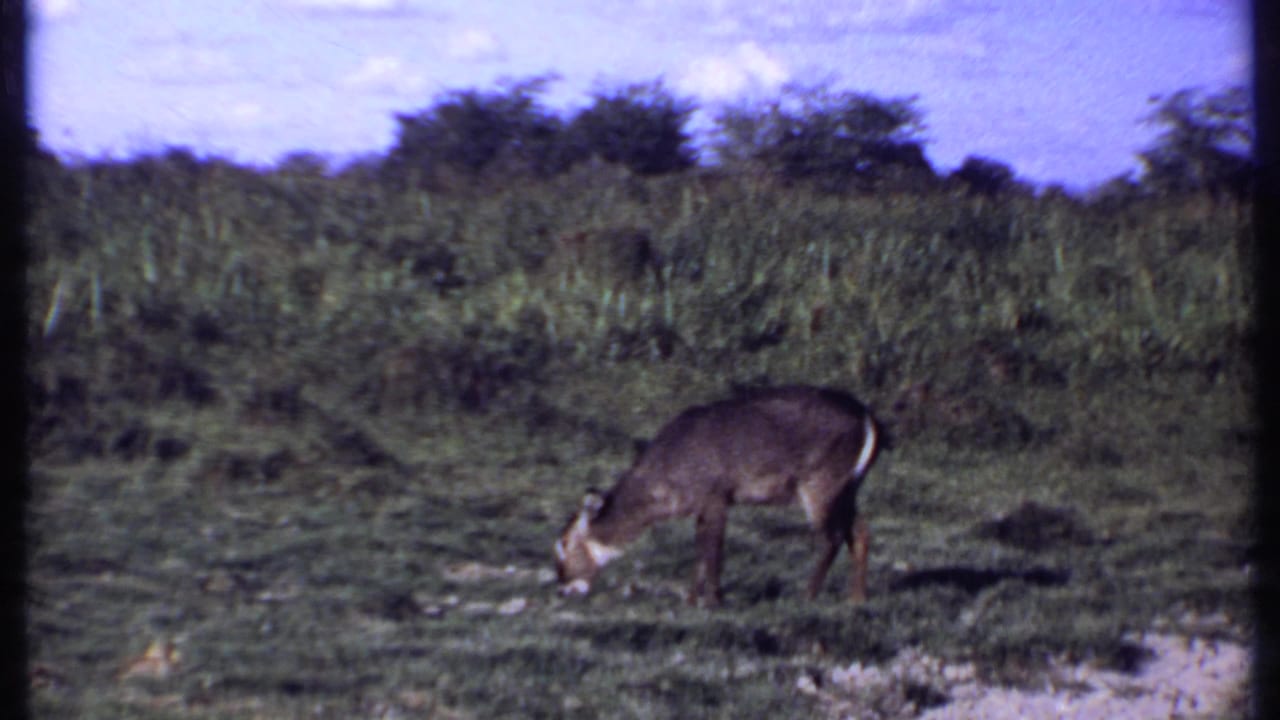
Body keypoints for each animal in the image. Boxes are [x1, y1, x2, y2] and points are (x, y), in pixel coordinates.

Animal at [554, 385, 887, 607]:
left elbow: (712, 550)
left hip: (819, 484)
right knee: (860, 531)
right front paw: (692, 599)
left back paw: (809, 593)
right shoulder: (703, 505)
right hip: (848, 487)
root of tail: (868, 417)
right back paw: (857, 597)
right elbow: (701, 550)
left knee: (833, 536)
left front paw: (713, 600)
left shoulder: (716, 496)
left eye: (565, 542)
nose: (563, 585)